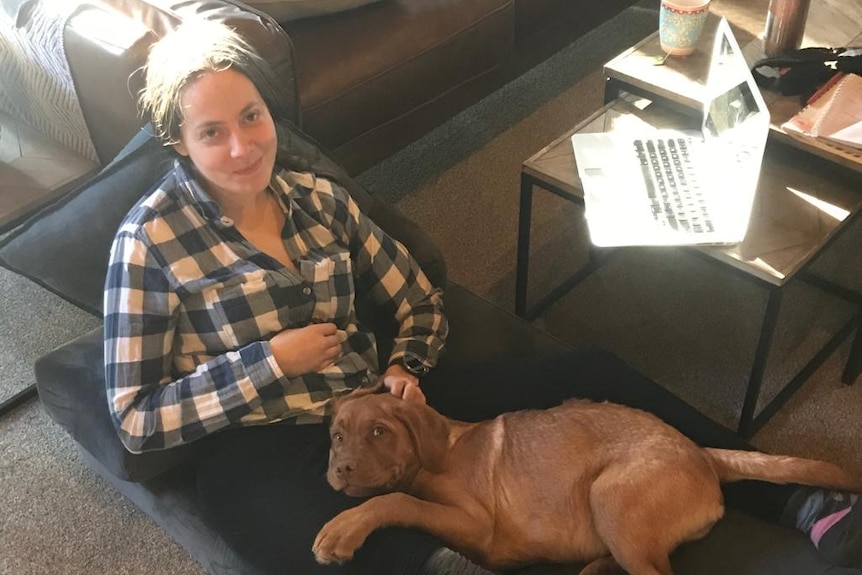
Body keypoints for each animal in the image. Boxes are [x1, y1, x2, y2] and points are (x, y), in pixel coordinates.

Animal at [312, 388, 862, 575]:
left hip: (609, 495)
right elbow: (401, 499)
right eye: (337, 436)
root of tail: (699, 452)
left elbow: (397, 502)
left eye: (379, 432)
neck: (439, 451)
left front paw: (342, 530)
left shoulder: (476, 525)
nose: (339, 470)